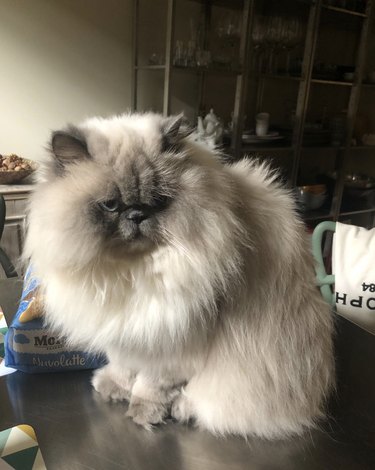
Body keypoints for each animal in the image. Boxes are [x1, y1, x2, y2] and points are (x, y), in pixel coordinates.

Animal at [23, 112, 334, 438]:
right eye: (110, 205)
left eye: (159, 201)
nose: (137, 214)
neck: (131, 272)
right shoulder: (124, 334)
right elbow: (122, 368)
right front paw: (114, 389)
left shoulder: (168, 345)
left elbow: (150, 386)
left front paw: (143, 412)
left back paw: (183, 408)